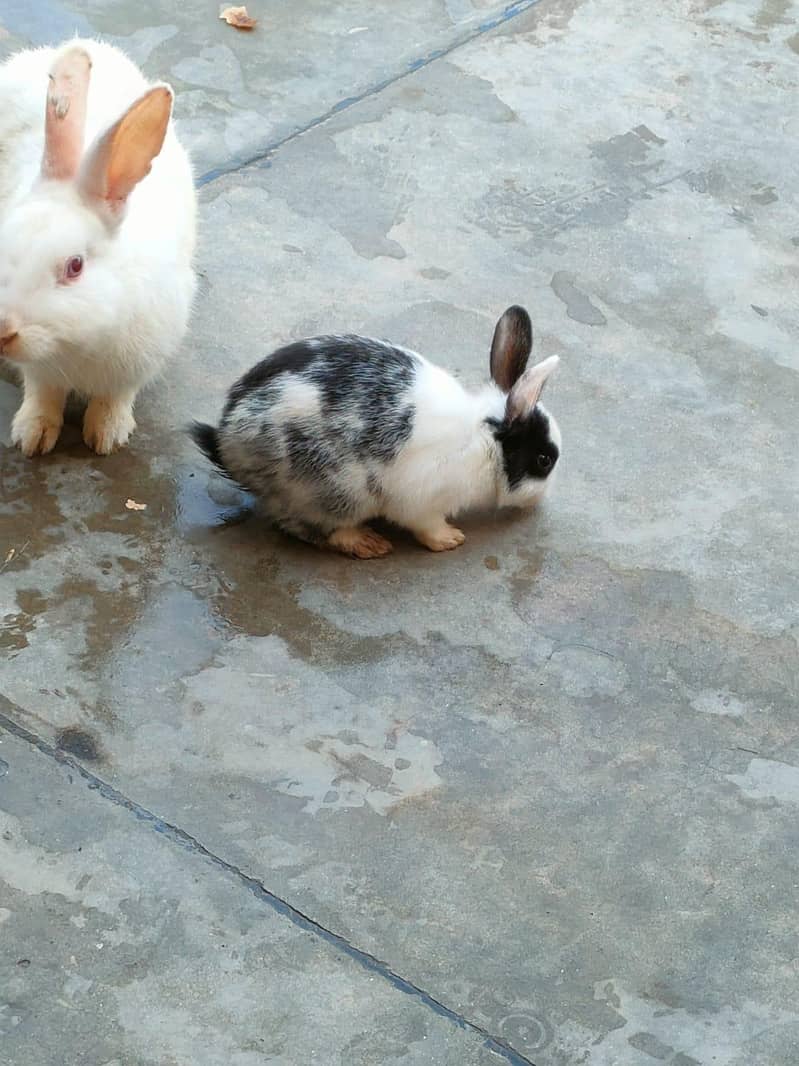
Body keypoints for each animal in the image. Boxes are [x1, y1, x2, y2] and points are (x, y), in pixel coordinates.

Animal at [0, 39, 196, 456]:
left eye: (75, 266)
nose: (3, 331)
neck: (76, 343)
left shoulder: (137, 363)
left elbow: (115, 397)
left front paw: (107, 435)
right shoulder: (40, 372)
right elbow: (43, 394)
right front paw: (33, 435)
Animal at [190, 306, 561, 558]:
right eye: (544, 460)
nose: (540, 500)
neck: (484, 442)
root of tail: (228, 440)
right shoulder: (422, 502)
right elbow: (426, 526)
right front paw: (450, 539)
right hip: (334, 492)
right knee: (307, 526)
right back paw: (368, 543)